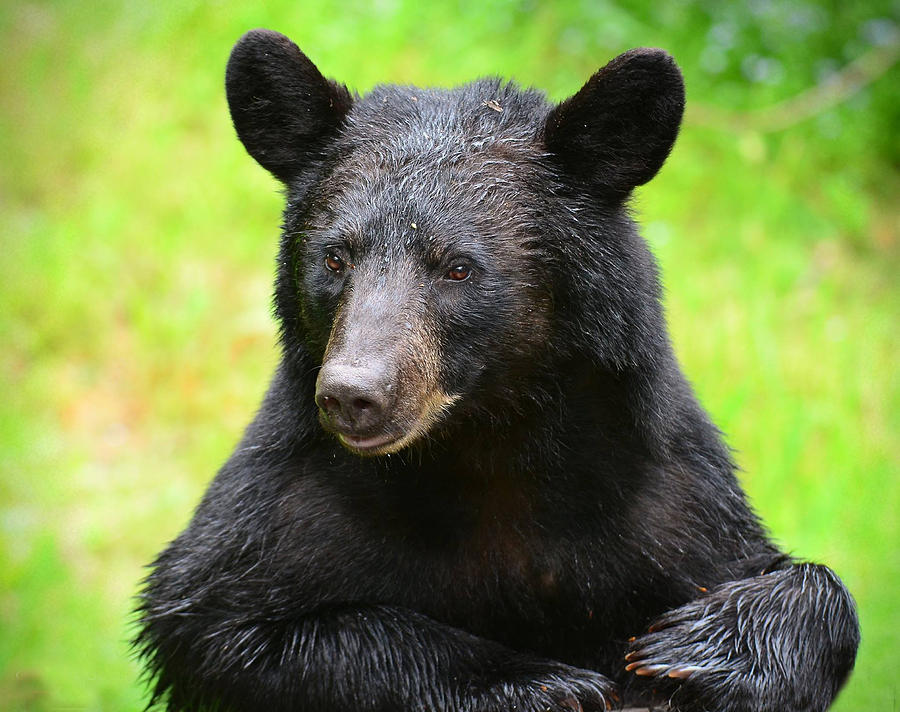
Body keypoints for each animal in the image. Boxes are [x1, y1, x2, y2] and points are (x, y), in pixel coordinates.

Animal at [134, 29, 856, 712]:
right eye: (335, 257)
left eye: (457, 267)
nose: (353, 395)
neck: (487, 442)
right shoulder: (286, 498)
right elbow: (218, 619)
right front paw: (541, 683)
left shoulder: (669, 497)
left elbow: (795, 583)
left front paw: (701, 647)